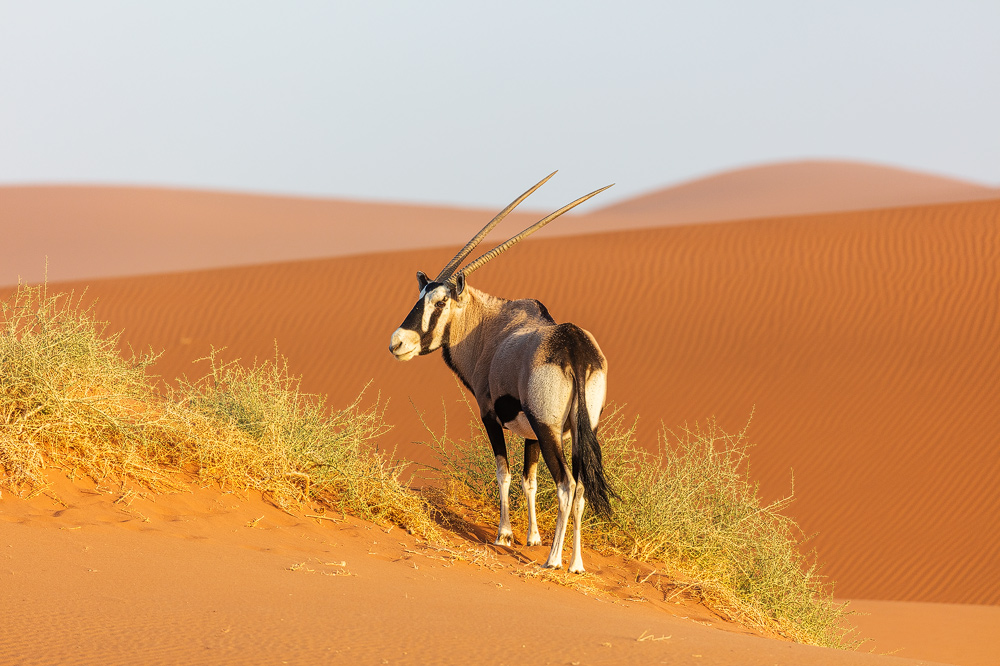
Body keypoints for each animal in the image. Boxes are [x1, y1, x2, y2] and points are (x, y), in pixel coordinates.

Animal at [390, 171, 616, 572]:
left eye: (440, 301)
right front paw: (533, 537)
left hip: (550, 429)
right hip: (577, 430)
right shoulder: (531, 435)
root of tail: (574, 347)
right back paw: (576, 563)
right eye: (421, 297)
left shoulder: (491, 416)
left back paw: (554, 560)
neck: (488, 329)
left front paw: (505, 535)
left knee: (567, 485)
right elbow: (529, 480)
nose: (397, 342)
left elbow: (504, 472)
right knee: (580, 488)